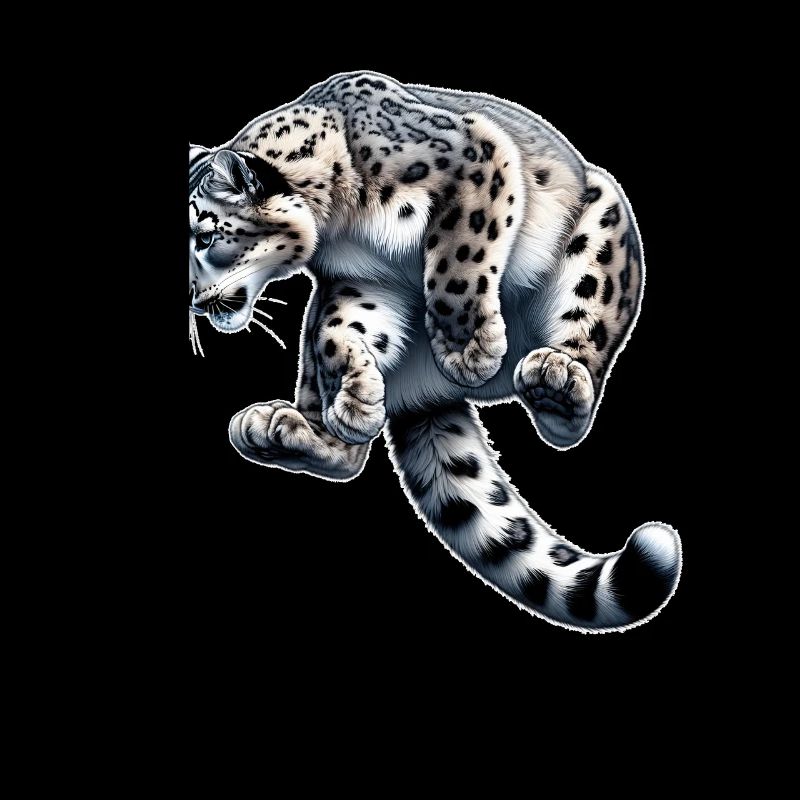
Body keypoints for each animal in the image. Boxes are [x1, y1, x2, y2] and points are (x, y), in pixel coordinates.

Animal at [188, 71, 681, 632]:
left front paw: (469, 352)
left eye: (205, 236)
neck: (342, 227)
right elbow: (336, 333)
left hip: (598, 225)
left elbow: (456, 259)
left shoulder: (473, 162)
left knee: (583, 344)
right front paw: (357, 401)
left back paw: (554, 382)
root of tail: (428, 393)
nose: (193, 301)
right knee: (339, 438)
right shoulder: (362, 281)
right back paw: (288, 427)